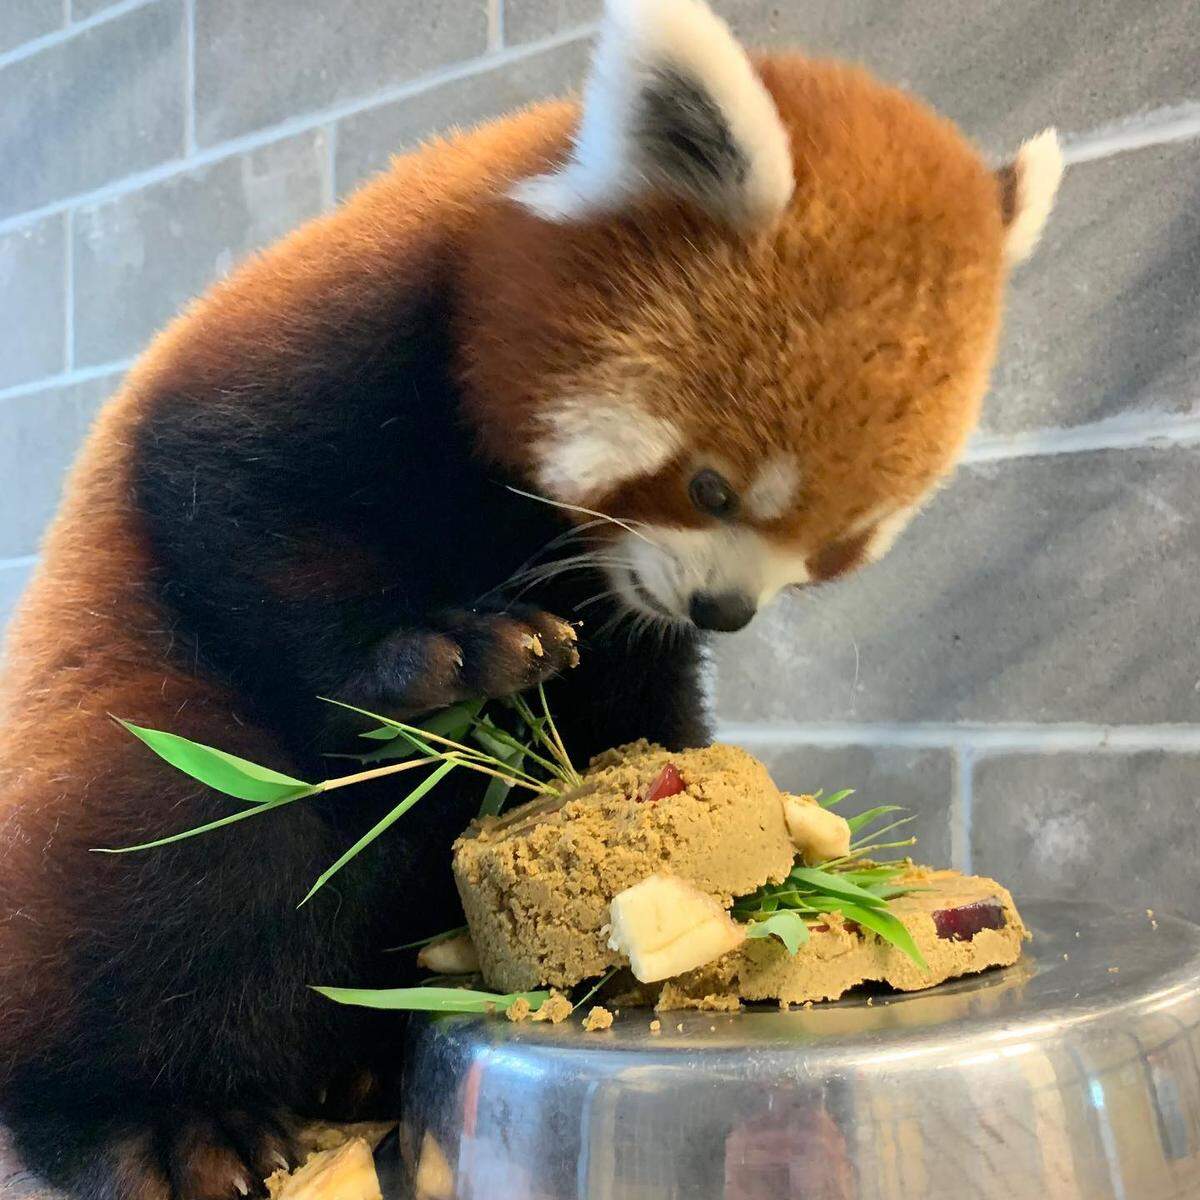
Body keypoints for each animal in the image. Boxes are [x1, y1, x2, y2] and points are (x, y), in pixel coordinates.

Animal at [0, 0, 1062, 1195]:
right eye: (710, 485)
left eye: (845, 541)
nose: (726, 613)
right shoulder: (324, 352)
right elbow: (228, 503)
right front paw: (444, 654)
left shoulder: (622, 599)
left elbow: (632, 692)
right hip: (134, 733)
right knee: (185, 858)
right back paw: (163, 1121)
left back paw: (354, 1071)